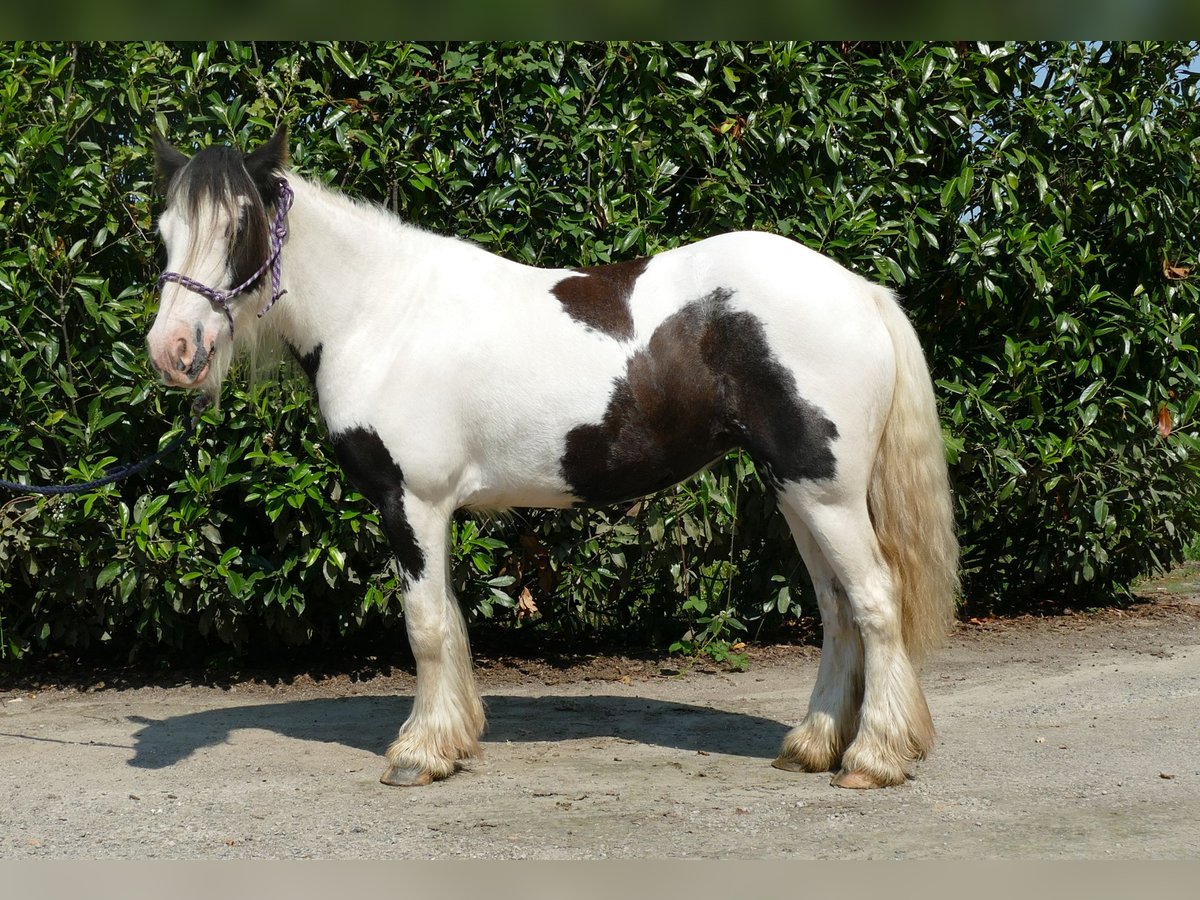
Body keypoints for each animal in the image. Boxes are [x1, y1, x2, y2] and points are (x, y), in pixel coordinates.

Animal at [147, 127, 955, 787]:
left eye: (240, 225)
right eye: (165, 230)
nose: (172, 350)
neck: (382, 313)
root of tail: (859, 290)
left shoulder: (411, 502)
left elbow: (426, 626)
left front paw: (420, 754)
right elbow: (448, 620)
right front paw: (454, 739)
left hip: (827, 493)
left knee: (875, 601)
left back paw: (875, 758)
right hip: (797, 490)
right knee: (838, 608)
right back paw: (813, 745)